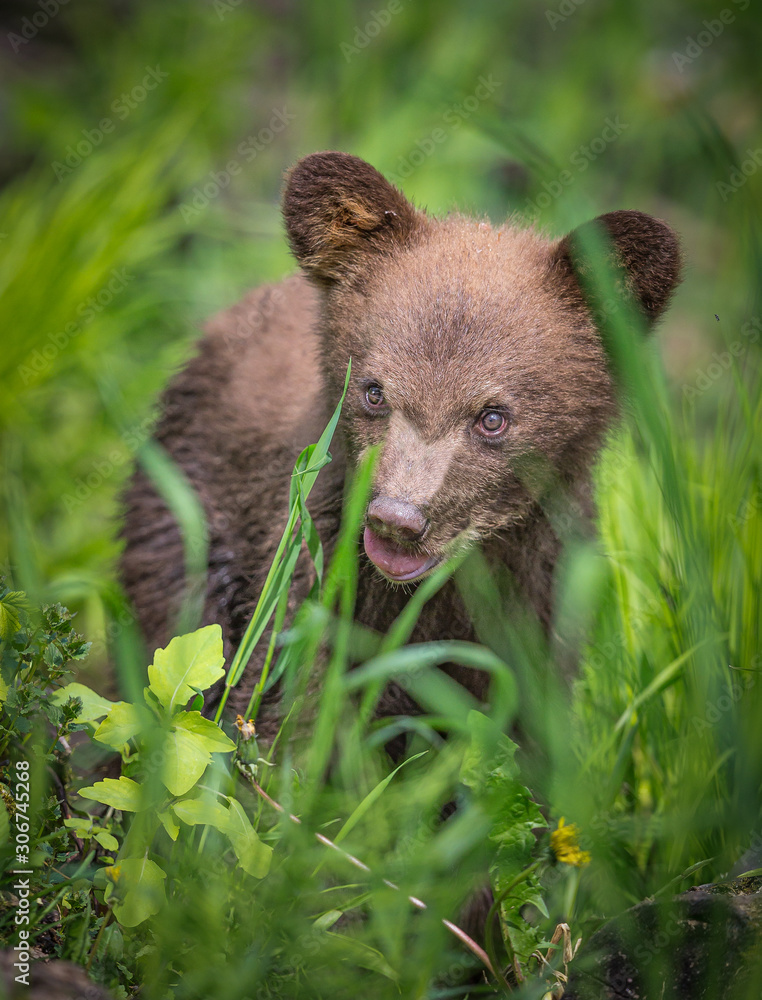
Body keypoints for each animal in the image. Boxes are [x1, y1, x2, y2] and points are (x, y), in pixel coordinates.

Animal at [120, 151, 682, 743]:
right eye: (373, 391)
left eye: (492, 417)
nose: (397, 520)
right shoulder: (304, 567)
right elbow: (286, 695)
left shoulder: (541, 595)